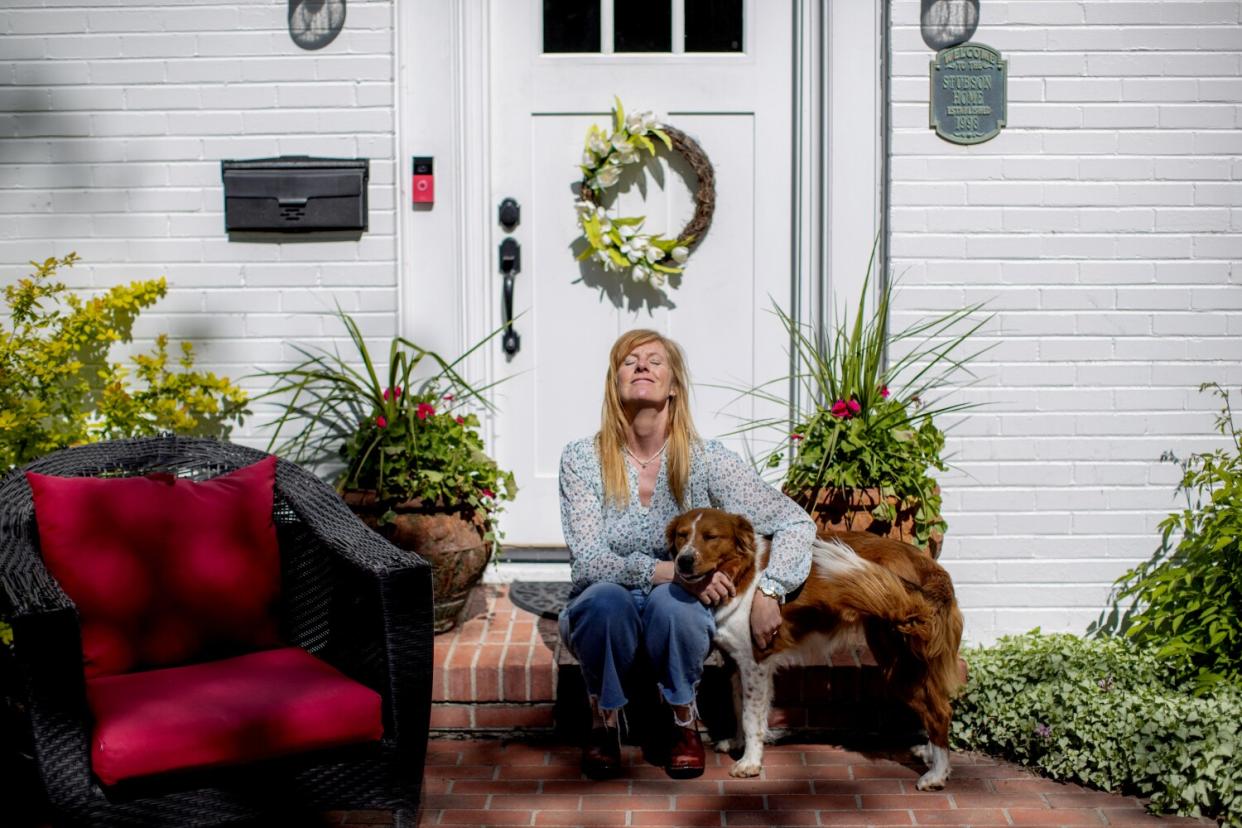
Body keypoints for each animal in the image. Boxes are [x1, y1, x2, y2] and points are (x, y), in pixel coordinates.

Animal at [665, 508, 963, 789]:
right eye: (681, 535)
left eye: (711, 537)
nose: (684, 561)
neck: (742, 573)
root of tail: (925, 563)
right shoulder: (738, 663)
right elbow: (740, 707)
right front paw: (740, 745)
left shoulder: (755, 662)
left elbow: (750, 716)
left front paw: (750, 762)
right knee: (939, 704)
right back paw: (930, 755)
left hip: (896, 658)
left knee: (939, 712)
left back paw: (936, 774)